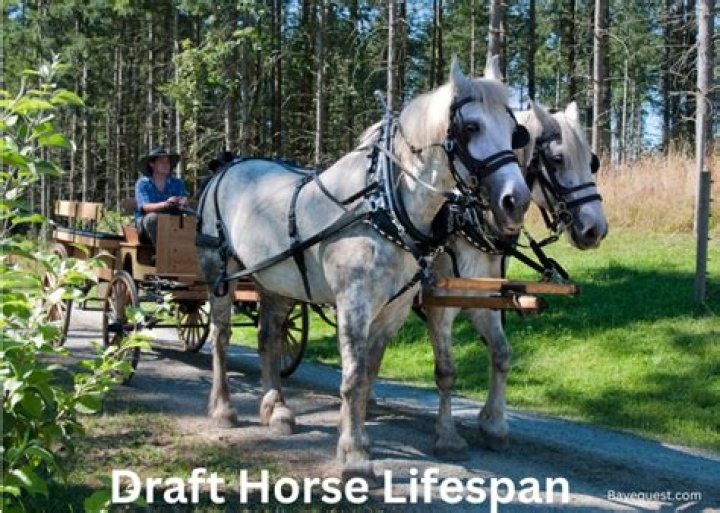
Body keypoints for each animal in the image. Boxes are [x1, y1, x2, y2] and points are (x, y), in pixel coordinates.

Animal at [196, 57, 532, 482]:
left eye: (514, 132)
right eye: (471, 127)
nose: (515, 200)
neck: (384, 205)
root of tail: (228, 165)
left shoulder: (394, 309)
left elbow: (369, 373)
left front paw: (356, 436)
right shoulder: (354, 303)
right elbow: (353, 378)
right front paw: (354, 455)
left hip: (277, 282)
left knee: (268, 337)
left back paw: (278, 411)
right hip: (219, 272)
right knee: (221, 337)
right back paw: (224, 408)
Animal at [371, 100, 608, 460]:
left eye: (592, 162)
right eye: (557, 159)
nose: (596, 229)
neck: (469, 221)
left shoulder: (485, 302)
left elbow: (502, 354)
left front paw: (494, 425)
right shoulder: (440, 305)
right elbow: (446, 372)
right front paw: (447, 436)